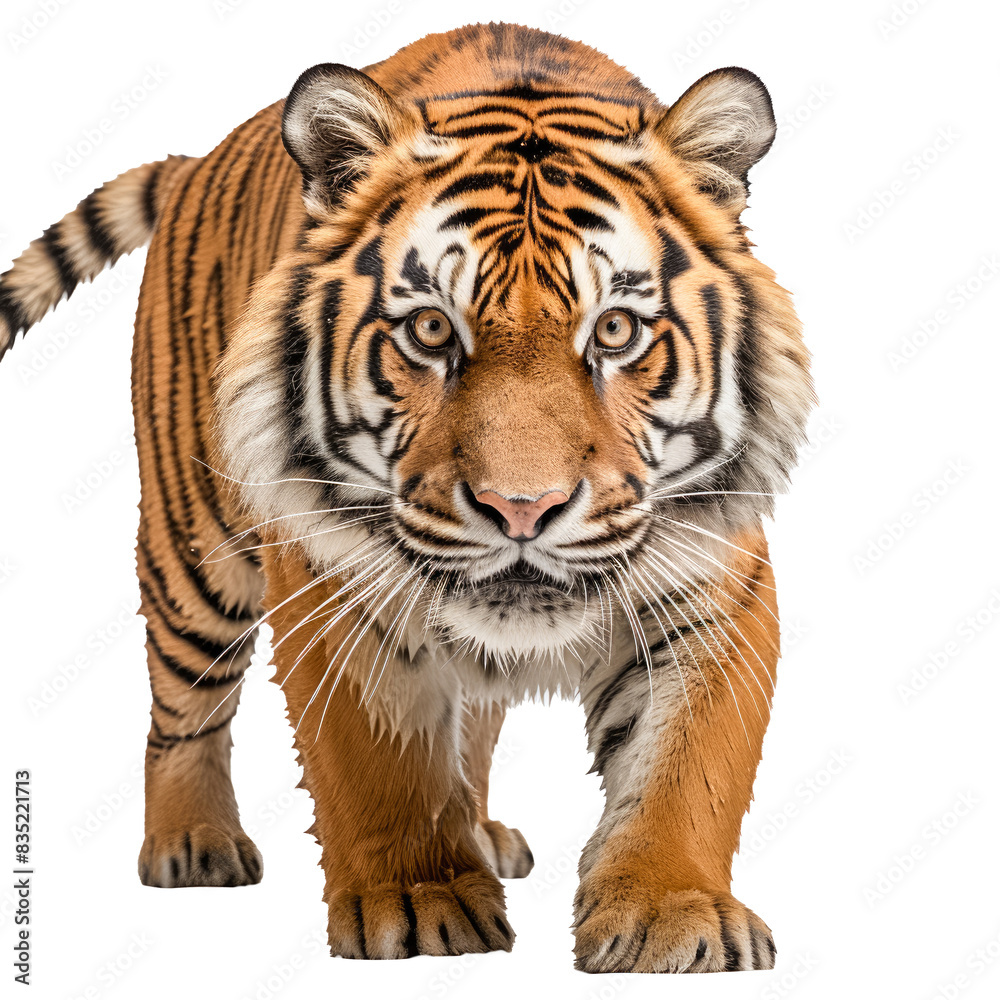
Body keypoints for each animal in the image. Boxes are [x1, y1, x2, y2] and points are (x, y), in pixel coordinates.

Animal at [0, 22, 812, 972]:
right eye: (430, 330)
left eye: (615, 331)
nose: (523, 508)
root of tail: (201, 158)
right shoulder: (331, 583)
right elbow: (377, 758)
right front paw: (421, 899)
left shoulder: (712, 584)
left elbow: (688, 766)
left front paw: (671, 913)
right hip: (195, 550)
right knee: (182, 706)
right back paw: (191, 843)